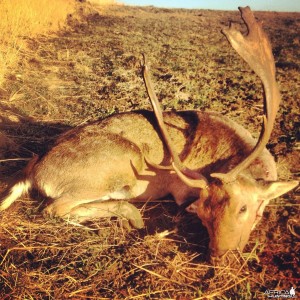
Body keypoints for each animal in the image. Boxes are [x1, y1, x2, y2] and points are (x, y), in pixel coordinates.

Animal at [0, 5, 298, 262]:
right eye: (202, 214)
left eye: (244, 208)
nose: (221, 256)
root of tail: (34, 168)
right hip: (120, 162)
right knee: (54, 209)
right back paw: (132, 216)